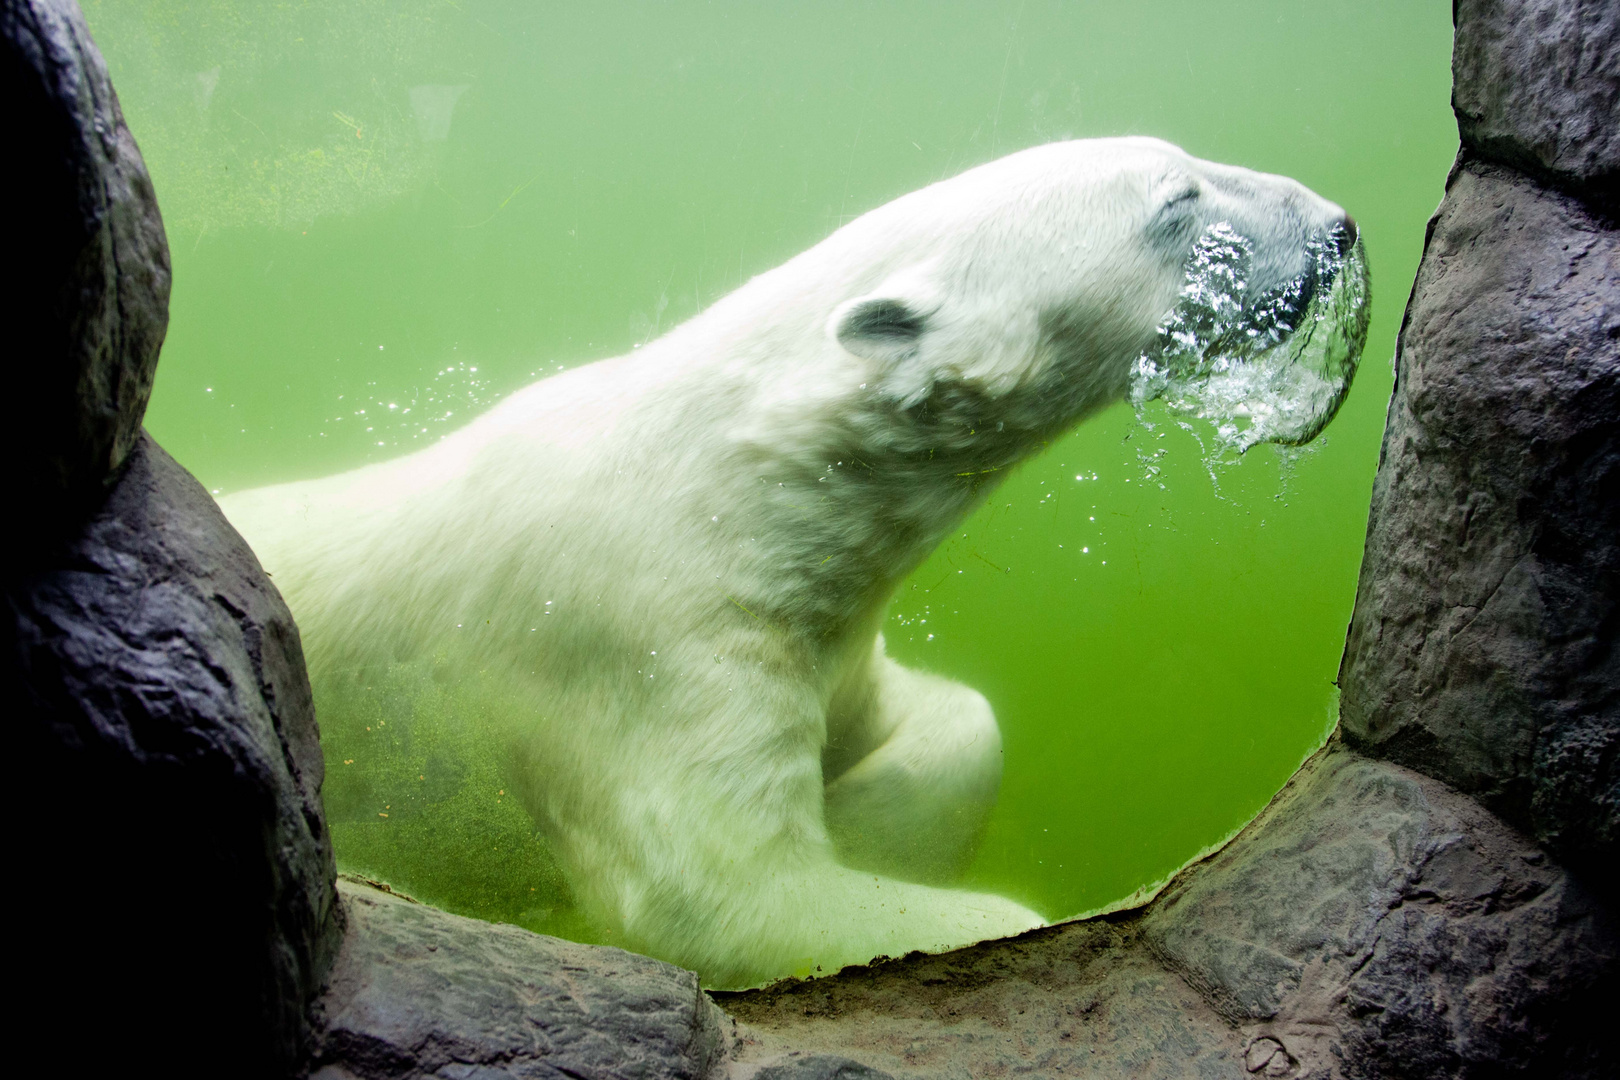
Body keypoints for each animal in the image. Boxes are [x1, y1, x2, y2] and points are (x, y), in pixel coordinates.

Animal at [218, 137, 1354, 990]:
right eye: (1178, 199)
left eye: (1189, 161)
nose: (1339, 223)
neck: (730, 483)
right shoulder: (630, 646)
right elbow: (724, 897)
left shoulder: (810, 622)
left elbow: (943, 720)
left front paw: (864, 820)